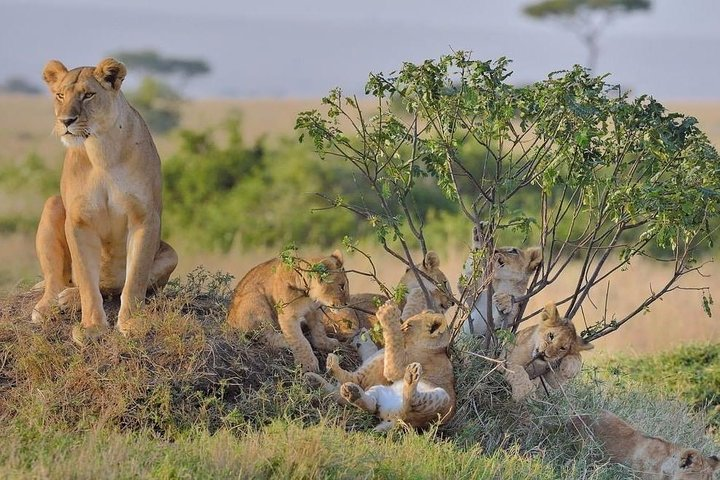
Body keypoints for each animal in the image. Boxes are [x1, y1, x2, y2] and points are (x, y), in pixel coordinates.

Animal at [32, 58, 178, 344]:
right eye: (60, 95)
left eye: (88, 95)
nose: (65, 120)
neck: (101, 151)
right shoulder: (78, 221)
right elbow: (87, 282)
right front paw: (91, 327)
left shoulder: (144, 218)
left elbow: (135, 278)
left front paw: (131, 323)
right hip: (54, 204)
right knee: (58, 280)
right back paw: (50, 305)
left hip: (171, 255)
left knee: (113, 285)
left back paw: (69, 298)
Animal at [306, 301, 455, 432]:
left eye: (408, 326)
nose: (401, 327)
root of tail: (398, 419)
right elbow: (370, 348)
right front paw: (363, 336)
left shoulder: (394, 369)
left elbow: (393, 341)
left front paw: (388, 313)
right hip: (379, 390)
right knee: (370, 405)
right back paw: (344, 390)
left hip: (441, 398)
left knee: (410, 400)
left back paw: (411, 375)